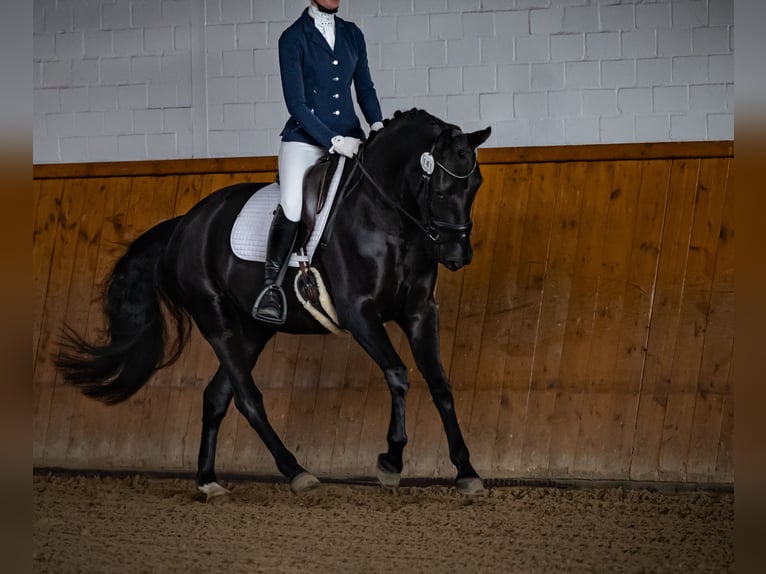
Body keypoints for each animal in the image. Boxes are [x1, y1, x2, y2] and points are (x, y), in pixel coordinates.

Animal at [58, 110, 492, 502]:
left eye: (475, 185)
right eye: (440, 189)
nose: (458, 255)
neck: (386, 218)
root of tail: (186, 224)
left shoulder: (419, 311)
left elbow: (439, 383)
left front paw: (466, 471)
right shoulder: (359, 314)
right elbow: (398, 375)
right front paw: (391, 461)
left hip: (253, 329)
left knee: (217, 396)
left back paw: (209, 481)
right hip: (216, 321)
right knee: (247, 398)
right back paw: (296, 471)